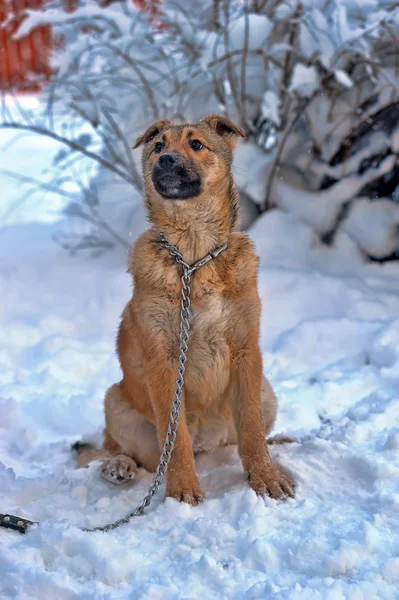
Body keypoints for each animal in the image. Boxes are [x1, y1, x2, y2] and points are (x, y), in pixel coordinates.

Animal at [73, 115, 296, 504]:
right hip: (115, 400)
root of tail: (209, 444)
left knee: (238, 440)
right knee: (122, 451)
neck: (193, 258)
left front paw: (266, 477)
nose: (165, 161)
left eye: (196, 144)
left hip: (266, 391)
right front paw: (182, 489)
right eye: (158, 146)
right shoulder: (162, 357)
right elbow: (175, 437)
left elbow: (252, 428)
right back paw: (118, 466)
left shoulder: (245, 350)